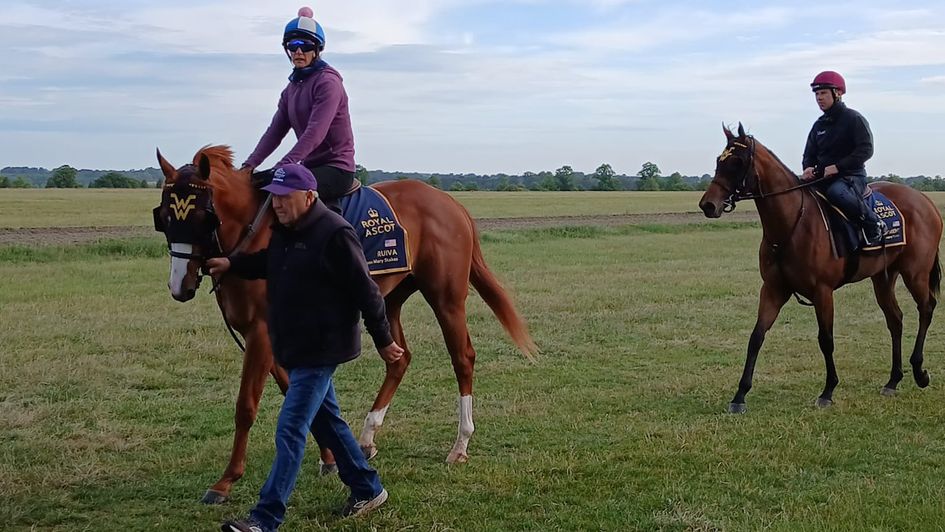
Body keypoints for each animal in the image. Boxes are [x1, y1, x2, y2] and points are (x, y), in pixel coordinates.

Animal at [152, 145, 537, 503]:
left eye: (202, 216)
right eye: (166, 217)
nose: (179, 285)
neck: (256, 232)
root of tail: (451, 204)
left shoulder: (261, 333)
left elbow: (247, 405)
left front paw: (226, 480)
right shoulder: (268, 334)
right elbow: (303, 397)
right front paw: (330, 456)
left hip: (446, 298)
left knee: (462, 358)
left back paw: (460, 443)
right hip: (387, 301)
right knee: (399, 358)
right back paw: (368, 434)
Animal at [699, 124, 942, 414]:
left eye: (737, 162)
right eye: (719, 161)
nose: (707, 204)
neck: (793, 222)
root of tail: (926, 201)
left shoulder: (822, 292)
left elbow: (826, 340)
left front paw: (828, 390)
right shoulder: (773, 290)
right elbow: (756, 337)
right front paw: (740, 395)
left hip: (915, 273)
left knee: (926, 308)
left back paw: (919, 371)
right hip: (883, 278)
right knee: (895, 319)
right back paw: (893, 380)